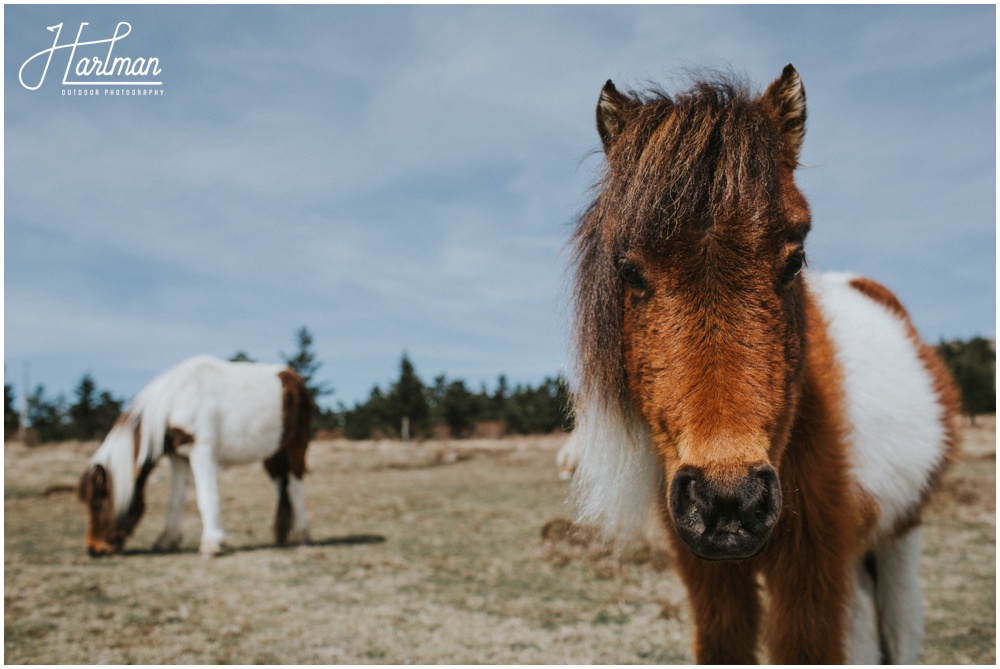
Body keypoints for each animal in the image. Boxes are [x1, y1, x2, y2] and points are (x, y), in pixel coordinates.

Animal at [78, 354, 310, 560]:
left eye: (97, 503)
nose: (94, 549)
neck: (174, 401)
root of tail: (294, 377)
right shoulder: (179, 458)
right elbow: (176, 500)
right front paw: (166, 541)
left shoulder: (201, 451)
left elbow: (206, 497)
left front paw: (212, 544)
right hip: (272, 455)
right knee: (281, 487)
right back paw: (281, 537)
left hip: (295, 447)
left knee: (295, 486)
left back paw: (302, 536)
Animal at [568, 64, 956, 664]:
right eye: (627, 270)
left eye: (795, 259)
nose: (729, 500)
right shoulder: (713, 580)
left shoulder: (810, 577)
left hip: (900, 537)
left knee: (899, 628)